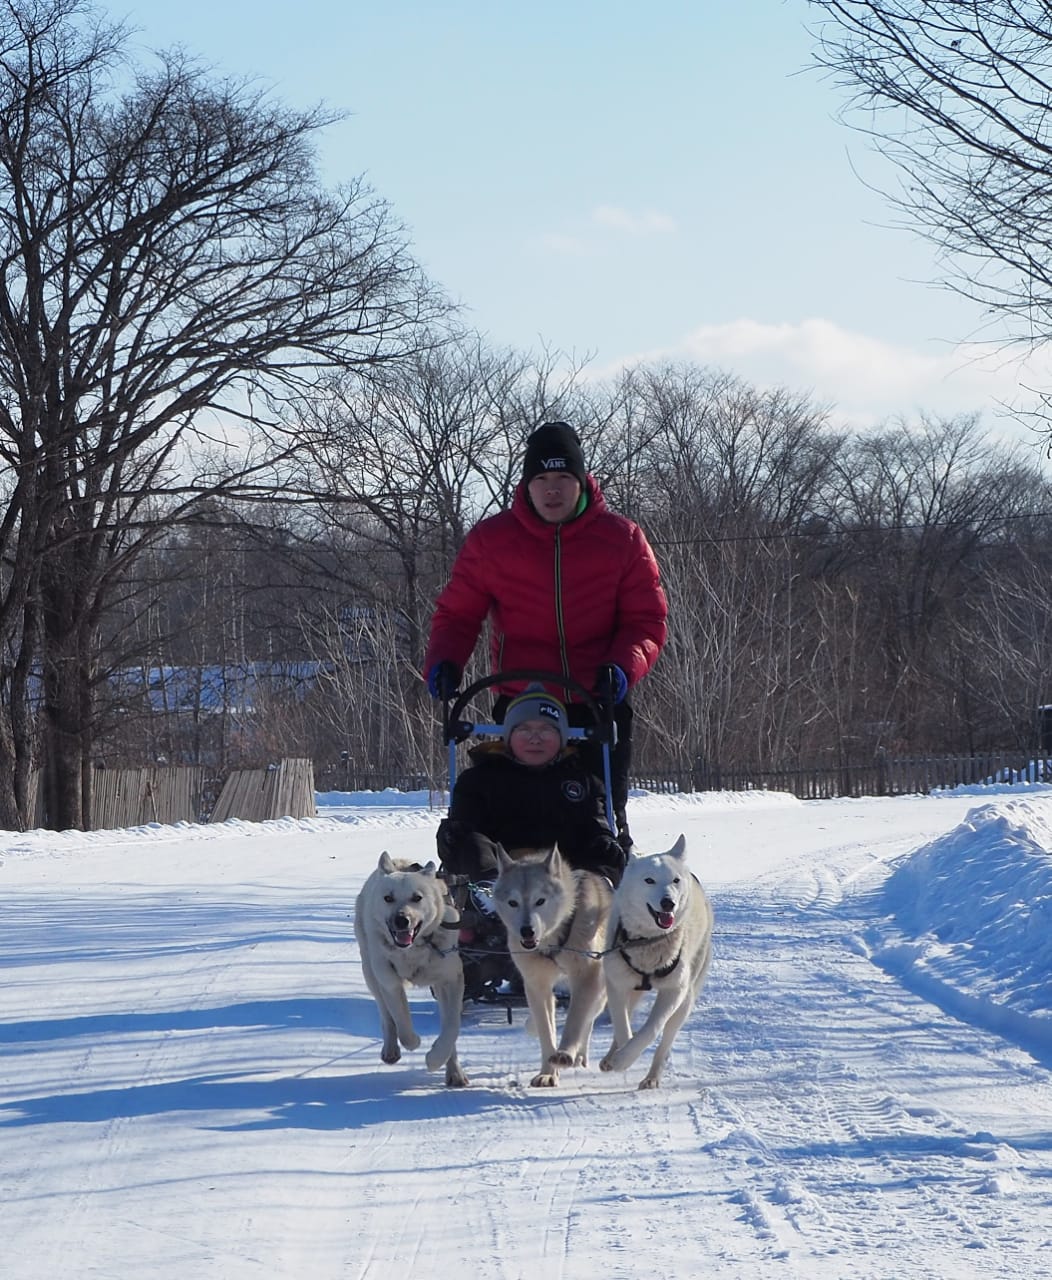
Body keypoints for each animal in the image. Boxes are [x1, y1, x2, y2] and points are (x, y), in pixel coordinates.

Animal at [353, 855, 468, 1085]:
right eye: (388, 898)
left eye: (417, 897)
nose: (401, 919)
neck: (412, 950)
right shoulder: (389, 982)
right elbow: (402, 1024)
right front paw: (414, 1041)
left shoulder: (451, 980)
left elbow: (452, 1027)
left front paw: (435, 1059)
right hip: (371, 973)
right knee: (386, 1015)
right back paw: (390, 1049)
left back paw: (454, 1072)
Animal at [491, 844, 614, 1085]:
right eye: (513, 902)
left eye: (540, 900)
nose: (526, 931)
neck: (552, 940)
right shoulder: (536, 985)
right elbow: (545, 1029)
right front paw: (547, 1072)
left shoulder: (586, 978)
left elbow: (575, 1020)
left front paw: (565, 1053)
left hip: (600, 988)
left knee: (588, 1019)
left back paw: (579, 1055)